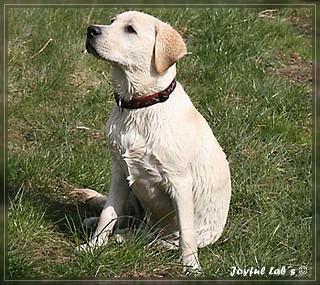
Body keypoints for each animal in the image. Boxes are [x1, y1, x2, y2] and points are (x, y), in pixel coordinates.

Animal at [75, 10, 230, 272]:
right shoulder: (120, 171)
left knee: (156, 238)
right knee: (126, 217)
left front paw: (191, 267)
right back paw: (100, 222)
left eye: (130, 29)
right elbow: (109, 213)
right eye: (112, 21)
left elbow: (187, 234)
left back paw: (126, 237)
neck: (140, 107)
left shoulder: (180, 183)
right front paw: (93, 247)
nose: (91, 30)